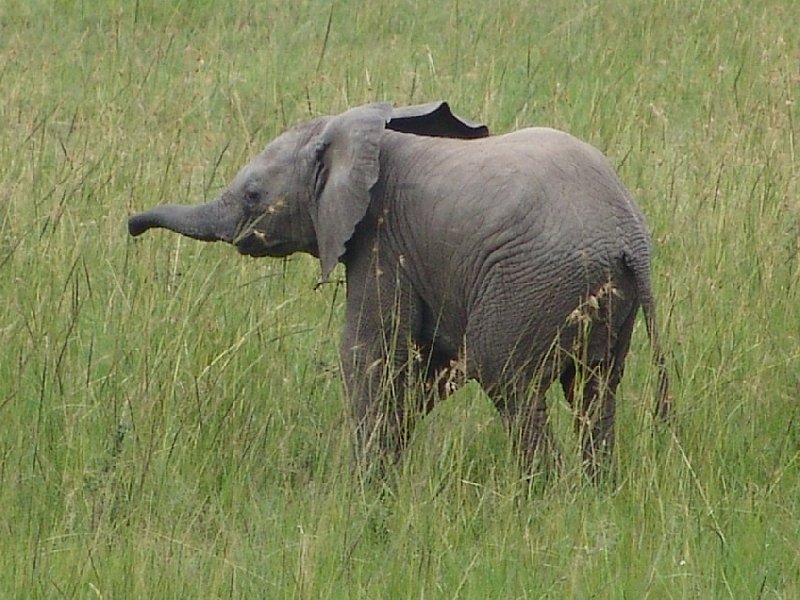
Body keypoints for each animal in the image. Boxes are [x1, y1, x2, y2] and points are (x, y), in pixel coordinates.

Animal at [130, 101, 668, 480]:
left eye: (252, 195)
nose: (131, 227)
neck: (360, 133)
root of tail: (628, 241)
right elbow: (429, 367)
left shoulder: (382, 240)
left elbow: (369, 353)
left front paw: (366, 491)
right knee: (594, 392)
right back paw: (594, 493)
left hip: (530, 287)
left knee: (512, 386)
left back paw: (539, 497)